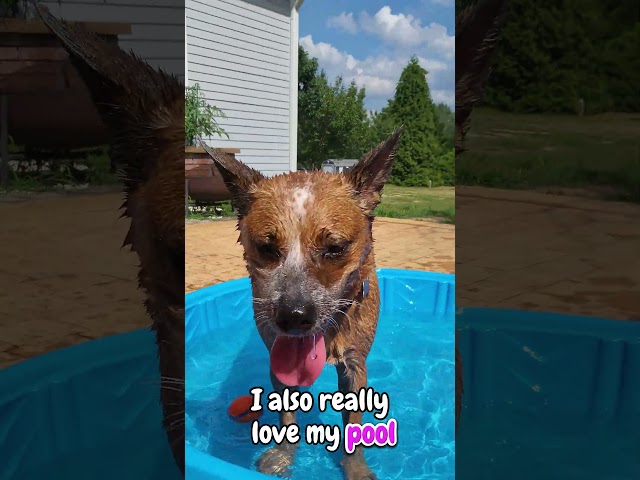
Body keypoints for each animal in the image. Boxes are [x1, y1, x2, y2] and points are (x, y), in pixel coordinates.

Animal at [202, 128, 402, 480]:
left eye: (335, 248)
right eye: (266, 247)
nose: (293, 316)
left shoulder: (355, 367)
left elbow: (353, 427)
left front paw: (356, 467)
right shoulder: (278, 364)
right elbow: (287, 417)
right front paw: (284, 454)